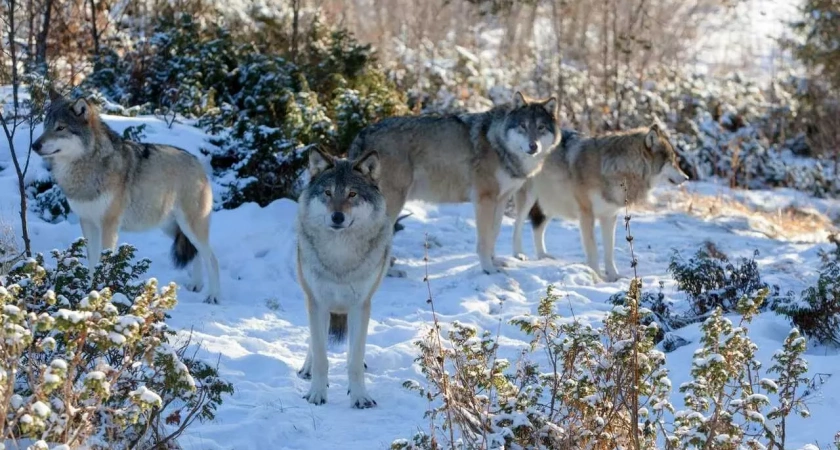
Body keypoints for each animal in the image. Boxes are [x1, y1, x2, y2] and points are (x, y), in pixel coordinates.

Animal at [31, 89, 221, 302]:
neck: (87, 167)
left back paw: (213, 296)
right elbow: (92, 262)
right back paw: (196, 285)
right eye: (45, 126)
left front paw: (102, 295)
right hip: (171, 227)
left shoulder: (109, 225)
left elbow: (104, 263)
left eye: (60, 128)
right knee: (196, 254)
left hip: (190, 226)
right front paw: (89, 295)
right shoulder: (87, 223)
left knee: (212, 258)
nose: (35, 145)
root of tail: (198, 161)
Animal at [296, 147, 390, 408]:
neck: (340, 257)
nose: (337, 217)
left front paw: (360, 396)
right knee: (314, 342)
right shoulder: (317, 302)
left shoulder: (361, 305)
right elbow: (321, 357)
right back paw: (306, 368)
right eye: (328, 193)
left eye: (352, 194)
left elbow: (355, 359)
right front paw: (316, 394)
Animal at [352, 92, 560, 274]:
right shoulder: (484, 199)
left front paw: (495, 261)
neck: (498, 144)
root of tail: (363, 132)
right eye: (523, 126)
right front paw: (488, 269)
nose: (533, 146)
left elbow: (494, 233)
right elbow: (484, 240)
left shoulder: (500, 200)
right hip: (393, 203)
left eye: (541, 127)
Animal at [512, 123, 688, 282]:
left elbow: (609, 251)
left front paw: (614, 276)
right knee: (518, 224)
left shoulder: (609, 216)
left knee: (537, 227)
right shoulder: (586, 214)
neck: (617, 169)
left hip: (551, 204)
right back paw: (518, 254)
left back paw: (543, 256)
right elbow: (593, 249)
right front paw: (597, 276)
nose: (686, 177)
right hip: (529, 198)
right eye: (672, 160)